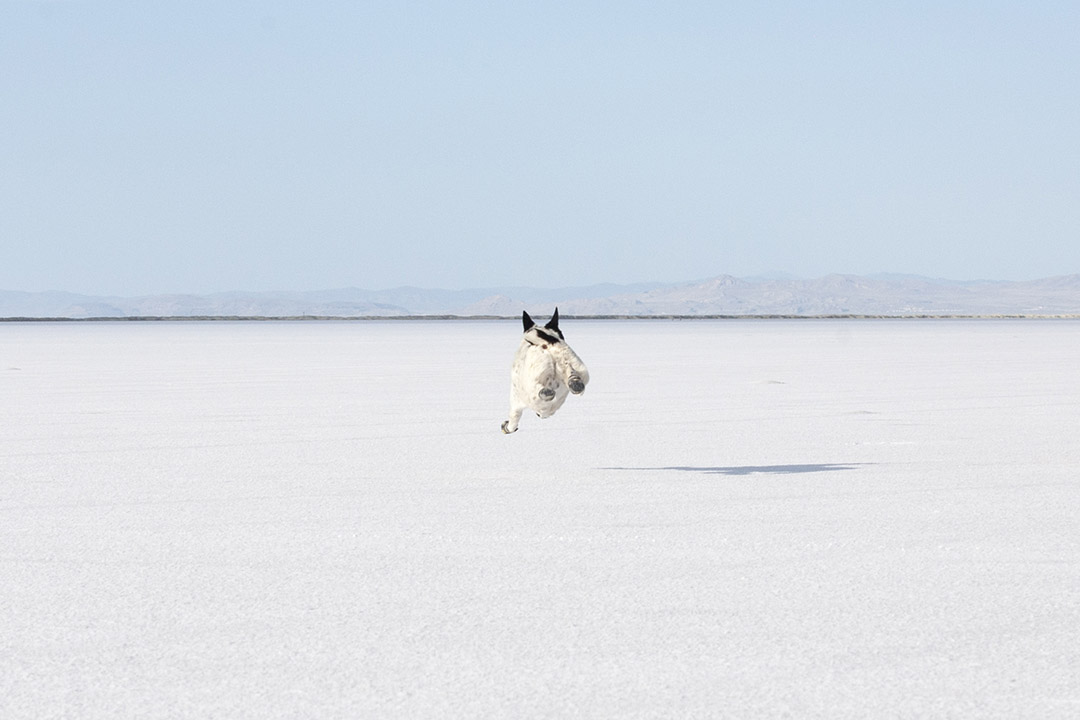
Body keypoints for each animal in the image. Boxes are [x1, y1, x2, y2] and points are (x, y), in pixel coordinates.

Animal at [498, 308, 587, 436]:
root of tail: (549, 343)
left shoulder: (516, 400)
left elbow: (513, 419)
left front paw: (507, 427)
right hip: (573, 364)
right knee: (573, 378)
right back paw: (575, 384)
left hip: (533, 378)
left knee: (540, 391)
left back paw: (546, 393)